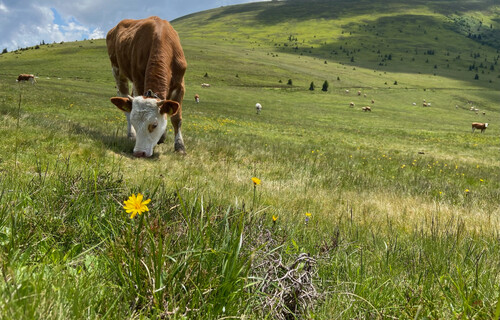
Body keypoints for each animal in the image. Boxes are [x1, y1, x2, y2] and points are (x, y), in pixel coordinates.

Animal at [106, 16, 187, 158]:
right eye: (135, 123)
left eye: (154, 125)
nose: (139, 153)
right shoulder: (138, 80)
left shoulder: (180, 85)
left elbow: (176, 118)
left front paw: (179, 146)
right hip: (117, 71)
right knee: (126, 104)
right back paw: (131, 135)